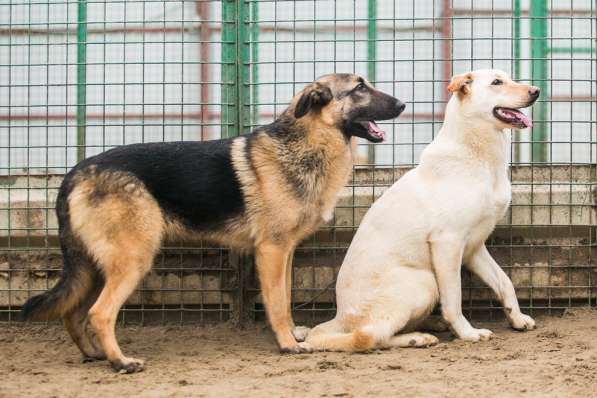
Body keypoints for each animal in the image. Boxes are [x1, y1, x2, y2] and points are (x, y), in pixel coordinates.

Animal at [22, 74, 406, 374]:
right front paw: (287, 343)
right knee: (100, 313)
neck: (307, 140)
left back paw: (94, 354)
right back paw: (121, 362)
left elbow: (284, 297)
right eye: (360, 87)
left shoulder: (285, 253)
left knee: (74, 312)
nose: (403, 104)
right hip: (132, 261)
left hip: (96, 267)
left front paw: (293, 334)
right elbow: (277, 303)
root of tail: (75, 173)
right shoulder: (271, 251)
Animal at [302, 70, 540, 352]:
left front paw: (517, 318)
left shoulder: (473, 248)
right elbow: (454, 298)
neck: (478, 157)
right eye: (496, 83)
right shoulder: (447, 243)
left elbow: (505, 282)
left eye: (508, 78)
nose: (536, 91)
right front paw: (468, 333)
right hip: (425, 281)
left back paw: (430, 325)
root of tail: (341, 317)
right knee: (369, 336)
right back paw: (418, 337)